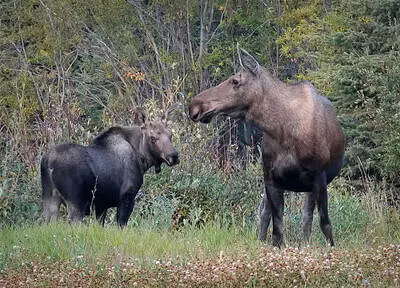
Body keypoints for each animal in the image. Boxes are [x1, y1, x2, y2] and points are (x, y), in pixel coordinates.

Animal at [41, 106, 179, 227]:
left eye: (170, 135)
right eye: (152, 138)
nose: (174, 156)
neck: (142, 161)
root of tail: (49, 161)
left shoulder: (101, 206)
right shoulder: (127, 197)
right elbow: (121, 225)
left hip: (49, 198)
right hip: (75, 201)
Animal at [190, 46, 344, 246]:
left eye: (235, 80)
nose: (194, 105)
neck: (282, 129)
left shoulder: (319, 175)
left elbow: (325, 223)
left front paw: (329, 248)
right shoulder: (270, 177)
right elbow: (277, 230)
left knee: (306, 217)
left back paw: (305, 244)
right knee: (265, 212)